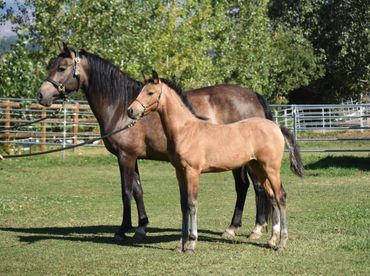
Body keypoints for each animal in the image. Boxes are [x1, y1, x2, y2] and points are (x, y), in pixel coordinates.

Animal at [38, 44, 272, 240]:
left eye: (62, 67)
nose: (41, 95)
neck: (120, 105)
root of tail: (254, 96)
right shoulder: (133, 157)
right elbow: (137, 191)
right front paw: (141, 227)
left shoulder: (125, 157)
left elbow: (126, 191)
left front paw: (123, 229)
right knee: (243, 187)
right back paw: (233, 228)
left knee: (257, 188)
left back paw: (256, 228)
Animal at [128, 71, 304, 254]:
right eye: (140, 91)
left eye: (150, 92)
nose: (131, 111)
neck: (185, 130)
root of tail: (277, 127)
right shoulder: (180, 172)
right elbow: (183, 205)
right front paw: (180, 244)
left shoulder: (192, 172)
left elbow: (192, 204)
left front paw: (191, 244)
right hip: (258, 168)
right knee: (271, 197)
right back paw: (272, 240)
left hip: (271, 169)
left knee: (280, 196)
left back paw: (282, 242)